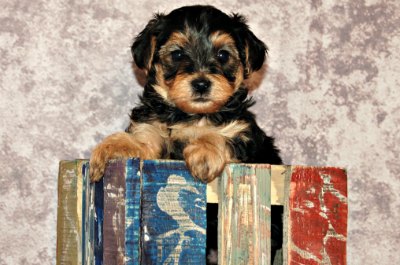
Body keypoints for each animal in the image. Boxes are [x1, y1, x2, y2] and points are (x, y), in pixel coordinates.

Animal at [90, 4, 284, 264]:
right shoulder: (151, 128)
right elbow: (139, 142)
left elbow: (220, 134)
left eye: (223, 55)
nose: (201, 84)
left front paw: (203, 153)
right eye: (178, 55)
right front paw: (108, 149)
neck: (190, 116)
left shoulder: (243, 133)